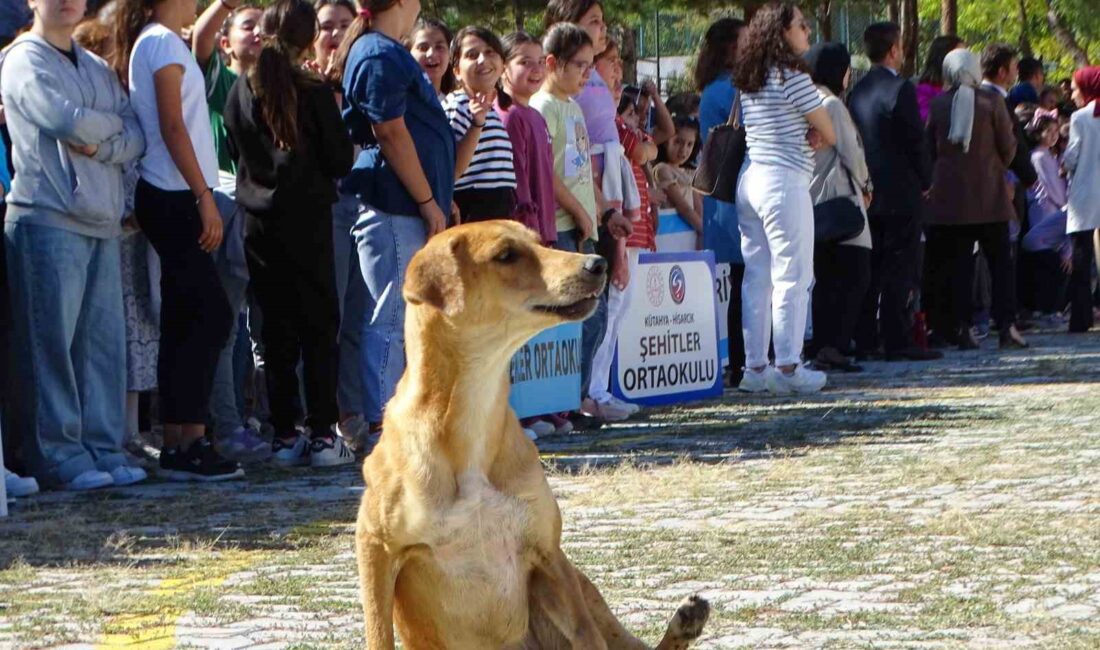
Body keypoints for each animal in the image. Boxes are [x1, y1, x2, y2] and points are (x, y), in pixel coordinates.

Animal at [356, 221, 708, 646]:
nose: (598, 263)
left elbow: (587, 634)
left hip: (580, 584)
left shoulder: (547, 554)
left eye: (541, 242)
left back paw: (684, 623)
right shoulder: (375, 547)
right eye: (505, 255)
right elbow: (378, 635)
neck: (471, 412)